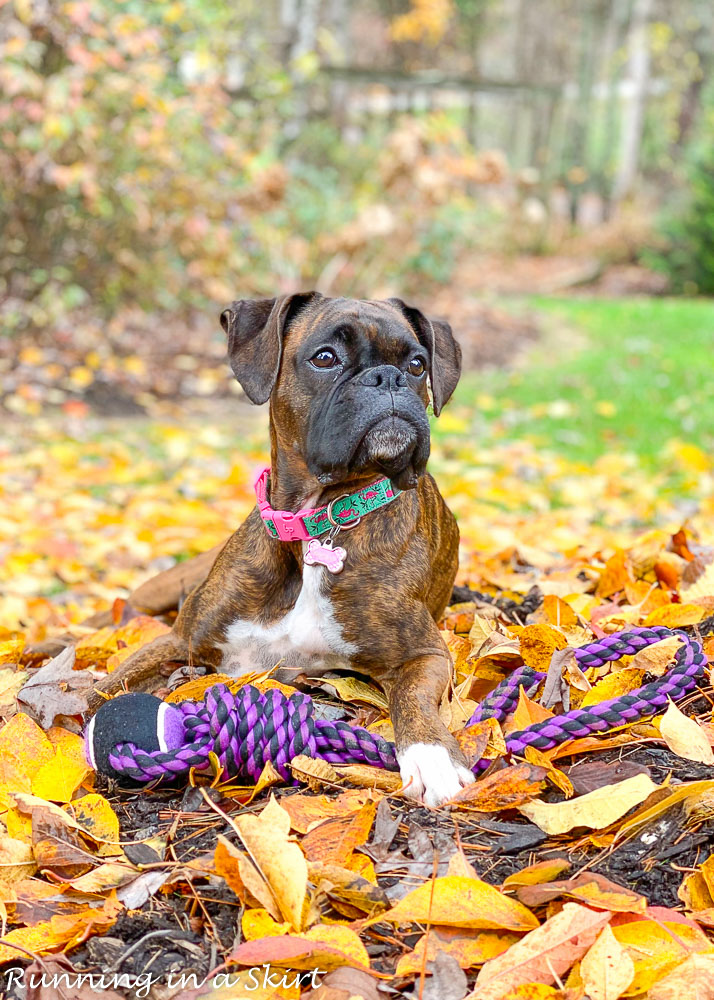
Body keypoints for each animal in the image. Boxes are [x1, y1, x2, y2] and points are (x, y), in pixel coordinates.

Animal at [87, 292, 472, 808]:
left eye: (416, 365)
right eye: (325, 358)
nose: (388, 378)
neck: (315, 525)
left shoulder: (424, 655)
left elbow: (413, 700)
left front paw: (434, 758)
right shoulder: (179, 641)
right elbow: (95, 693)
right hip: (163, 590)